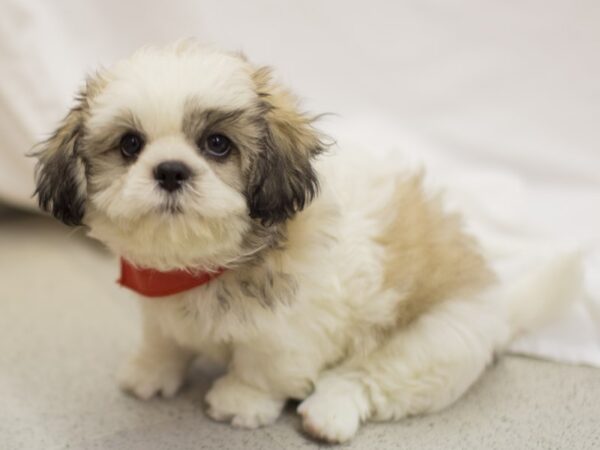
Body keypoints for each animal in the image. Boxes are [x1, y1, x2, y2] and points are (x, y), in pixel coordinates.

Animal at [34, 40, 580, 442]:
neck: (208, 266)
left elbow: (263, 366)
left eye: (217, 145)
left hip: (437, 343)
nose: (170, 170)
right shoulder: (157, 302)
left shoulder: (289, 332)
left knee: (371, 377)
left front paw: (240, 401)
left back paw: (328, 414)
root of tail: (500, 305)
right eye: (130, 145)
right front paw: (150, 372)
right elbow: (163, 339)